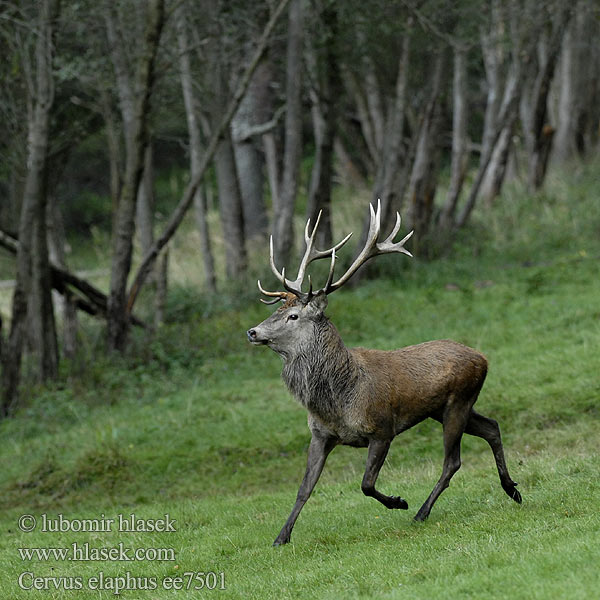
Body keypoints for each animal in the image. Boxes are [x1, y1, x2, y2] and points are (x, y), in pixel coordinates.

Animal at [246, 203, 524, 548]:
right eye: (276, 311)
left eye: (294, 316)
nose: (253, 331)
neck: (338, 400)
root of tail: (483, 358)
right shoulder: (321, 435)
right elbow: (304, 489)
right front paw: (281, 537)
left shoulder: (381, 429)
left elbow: (366, 483)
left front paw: (398, 501)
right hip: (444, 408)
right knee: (491, 427)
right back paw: (512, 489)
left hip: (458, 402)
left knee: (452, 461)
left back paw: (421, 512)